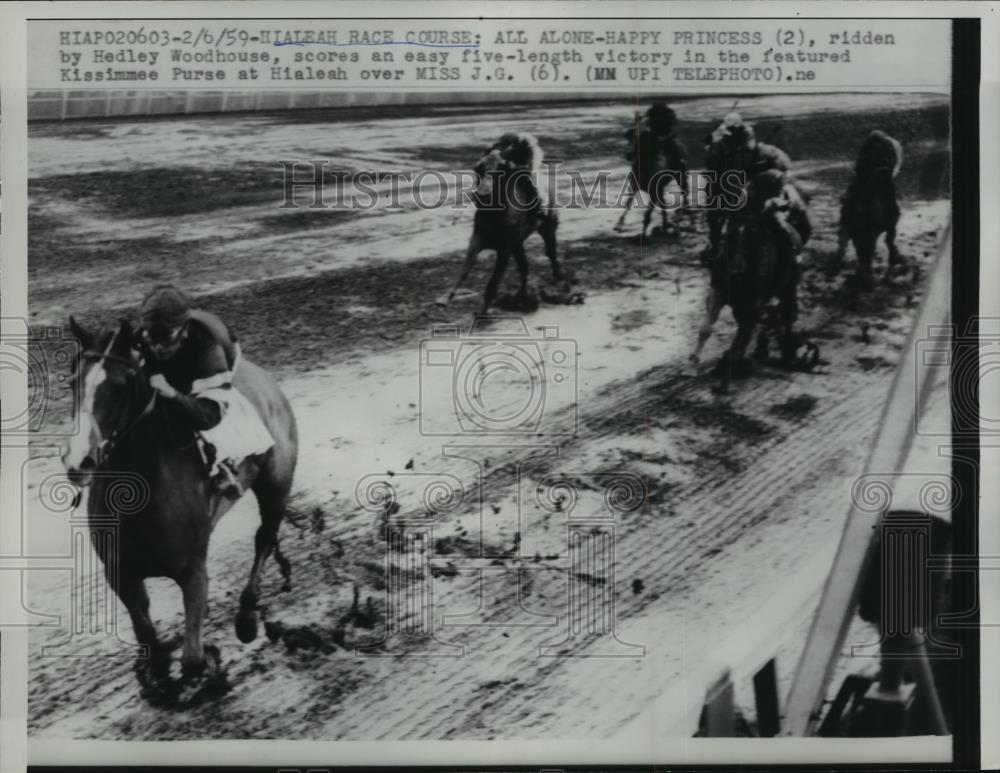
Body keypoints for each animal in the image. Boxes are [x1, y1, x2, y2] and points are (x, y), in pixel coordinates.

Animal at [60, 316, 296, 704]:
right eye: (72, 381)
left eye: (120, 386)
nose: (79, 461)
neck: (136, 497)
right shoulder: (120, 573)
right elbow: (148, 637)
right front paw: (155, 670)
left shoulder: (193, 572)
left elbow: (193, 658)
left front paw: (208, 662)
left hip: (275, 488)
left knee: (264, 538)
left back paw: (246, 616)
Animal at [440, 133, 560, 314]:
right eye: (478, 169)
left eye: (501, 170)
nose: (482, 195)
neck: (495, 215)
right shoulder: (478, 240)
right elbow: (465, 269)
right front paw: (444, 299)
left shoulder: (505, 249)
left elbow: (493, 283)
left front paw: (483, 312)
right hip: (518, 244)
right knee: (524, 267)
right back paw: (520, 297)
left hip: (547, 230)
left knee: (551, 255)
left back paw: (558, 280)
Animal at [612, 109, 692, 238]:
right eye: (630, 138)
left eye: (642, 140)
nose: (628, 155)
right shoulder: (634, 187)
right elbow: (627, 204)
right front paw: (619, 225)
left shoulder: (654, 193)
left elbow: (647, 215)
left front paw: (644, 234)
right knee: (665, 204)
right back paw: (666, 224)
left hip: (681, 179)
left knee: (685, 196)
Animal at [692, 166, 816, 390]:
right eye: (731, 234)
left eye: (754, 235)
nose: (736, 267)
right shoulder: (719, 291)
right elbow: (707, 328)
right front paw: (696, 358)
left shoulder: (752, 305)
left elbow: (741, 338)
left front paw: (724, 380)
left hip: (787, 288)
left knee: (787, 315)